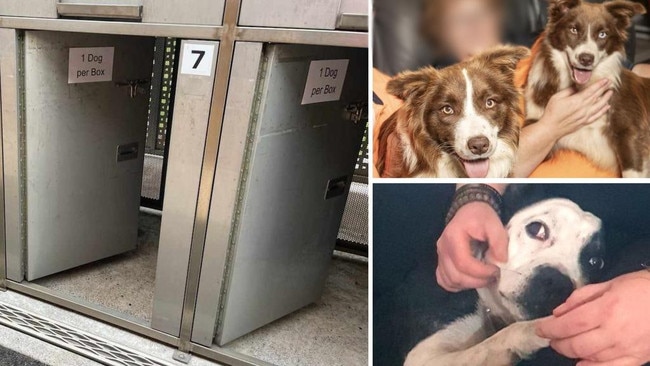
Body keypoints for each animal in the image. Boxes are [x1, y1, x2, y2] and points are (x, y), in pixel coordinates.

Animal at [408, 199, 604, 366]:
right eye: (536, 229)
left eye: (596, 262)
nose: (557, 284)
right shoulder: (422, 357)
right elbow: (493, 342)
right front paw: (536, 328)